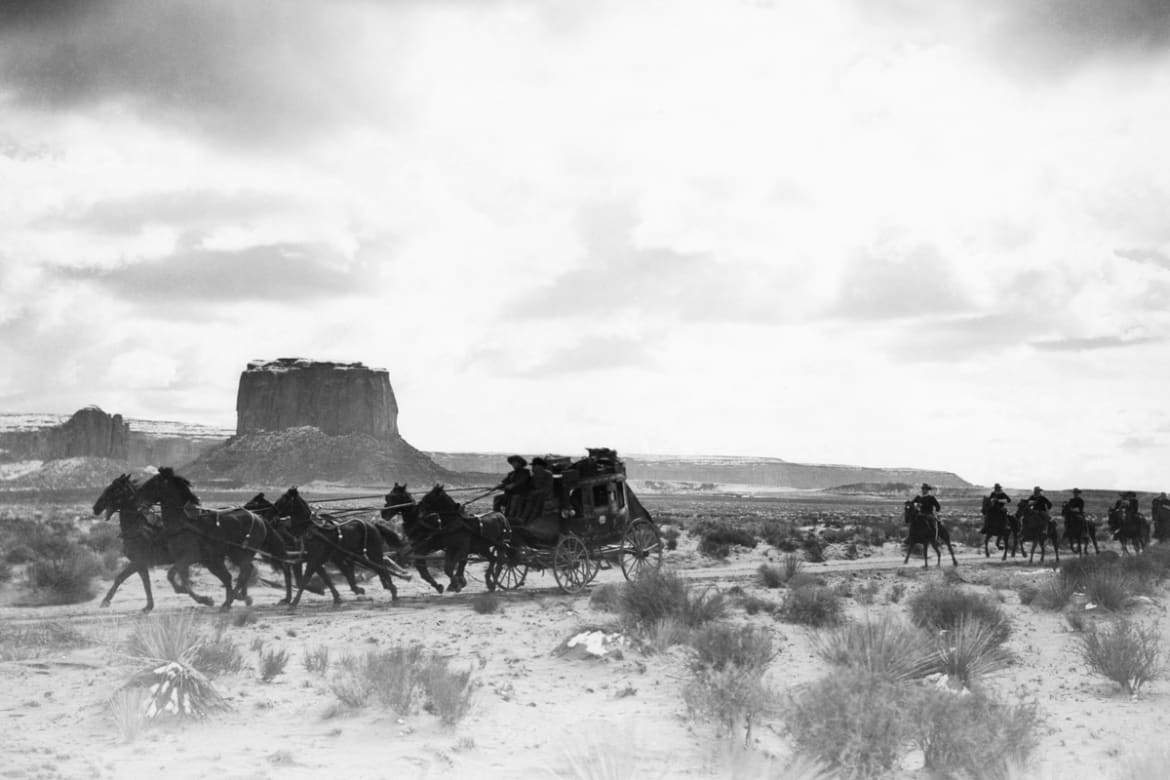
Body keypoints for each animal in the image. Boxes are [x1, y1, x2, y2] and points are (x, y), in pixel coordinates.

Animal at [135, 467, 279, 610]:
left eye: (152, 484)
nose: (137, 500)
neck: (184, 522)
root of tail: (259, 518)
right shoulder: (190, 558)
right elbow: (172, 576)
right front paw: (189, 592)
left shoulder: (190, 557)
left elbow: (177, 575)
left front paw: (204, 599)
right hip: (224, 557)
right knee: (237, 574)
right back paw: (234, 599)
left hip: (239, 553)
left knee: (245, 571)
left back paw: (232, 599)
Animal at [267, 487, 410, 607]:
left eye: (282, 501)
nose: (271, 518)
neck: (311, 529)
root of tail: (374, 525)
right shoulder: (315, 559)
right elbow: (325, 579)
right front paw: (337, 597)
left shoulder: (314, 559)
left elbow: (305, 579)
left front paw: (294, 602)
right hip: (360, 554)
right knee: (378, 568)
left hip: (373, 552)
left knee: (382, 568)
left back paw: (393, 591)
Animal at [382, 483, 510, 594]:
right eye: (387, 496)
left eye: (393, 497)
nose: (383, 513)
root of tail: (501, 515)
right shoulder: (441, 547)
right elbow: (444, 566)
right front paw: (449, 584)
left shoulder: (433, 546)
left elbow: (456, 564)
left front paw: (457, 583)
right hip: (482, 547)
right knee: (493, 559)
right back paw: (490, 582)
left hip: (499, 544)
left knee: (501, 560)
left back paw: (494, 582)